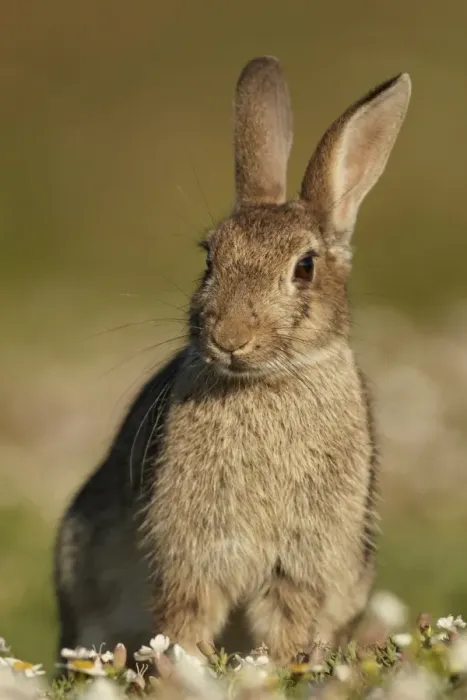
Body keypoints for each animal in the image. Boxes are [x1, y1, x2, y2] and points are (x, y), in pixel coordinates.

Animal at [54, 56, 411, 669]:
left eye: (305, 267)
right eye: (209, 259)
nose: (230, 336)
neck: (265, 382)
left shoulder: (299, 563)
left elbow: (288, 620)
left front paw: (278, 668)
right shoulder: (191, 551)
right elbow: (187, 614)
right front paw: (188, 666)